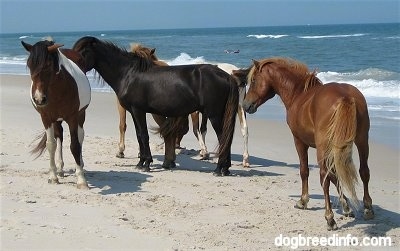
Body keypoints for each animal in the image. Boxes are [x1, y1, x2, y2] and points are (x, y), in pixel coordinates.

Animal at [22, 39, 91, 188]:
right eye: (29, 64)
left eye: (48, 65)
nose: (39, 99)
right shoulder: (46, 118)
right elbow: (51, 144)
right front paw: (53, 176)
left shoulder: (73, 117)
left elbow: (75, 145)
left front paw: (81, 179)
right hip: (57, 120)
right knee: (59, 136)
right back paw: (60, 169)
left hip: (81, 115)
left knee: (81, 136)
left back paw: (81, 165)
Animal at [72, 36, 238, 176]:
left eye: (83, 51)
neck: (128, 73)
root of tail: (227, 76)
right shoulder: (134, 112)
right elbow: (139, 136)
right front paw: (141, 162)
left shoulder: (138, 111)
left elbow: (144, 135)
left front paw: (146, 164)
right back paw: (225, 168)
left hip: (214, 115)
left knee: (223, 137)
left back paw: (219, 169)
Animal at [241, 57, 376, 230]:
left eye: (253, 80)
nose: (245, 105)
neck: (298, 94)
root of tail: (345, 97)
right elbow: (336, 174)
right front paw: (346, 206)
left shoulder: (299, 141)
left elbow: (305, 171)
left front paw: (303, 200)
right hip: (361, 140)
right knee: (364, 171)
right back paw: (367, 208)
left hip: (324, 146)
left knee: (324, 176)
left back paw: (329, 218)